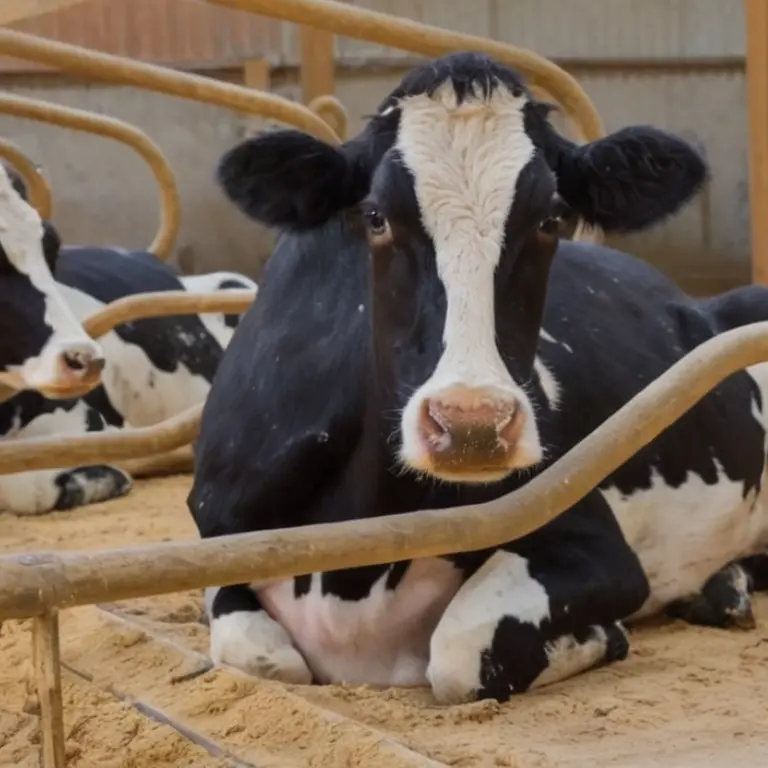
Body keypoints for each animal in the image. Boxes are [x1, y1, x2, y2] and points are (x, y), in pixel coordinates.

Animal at [188, 52, 768, 704]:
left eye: (551, 219)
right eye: (375, 217)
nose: (471, 426)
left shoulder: (599, 549)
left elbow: (459, 651)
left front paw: (600, 637)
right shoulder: (214, 530)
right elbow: (263, 656)